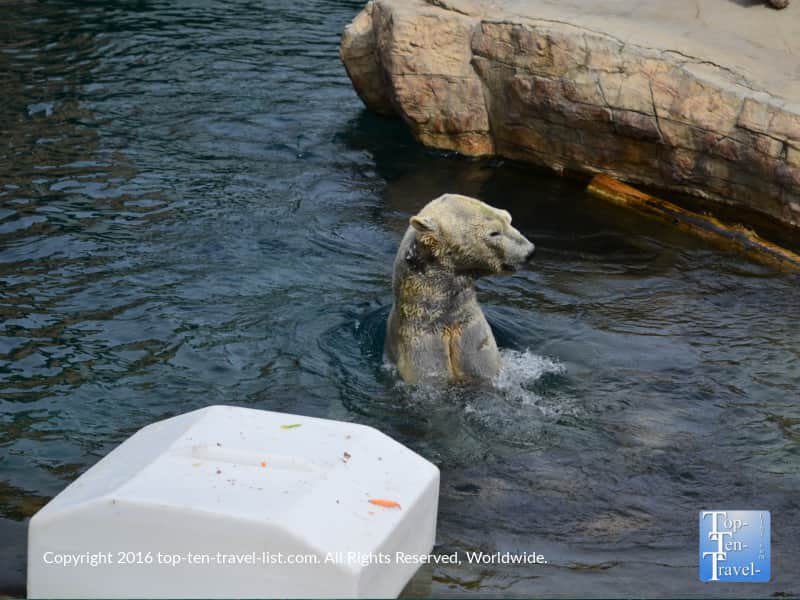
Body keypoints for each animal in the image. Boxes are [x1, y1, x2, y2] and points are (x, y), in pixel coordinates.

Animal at [385, 193, 535, 384]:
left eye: (508, 218)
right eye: (494, 232)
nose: (530, 252)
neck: (447, 321)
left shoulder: (475, 343)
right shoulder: (420, 352)